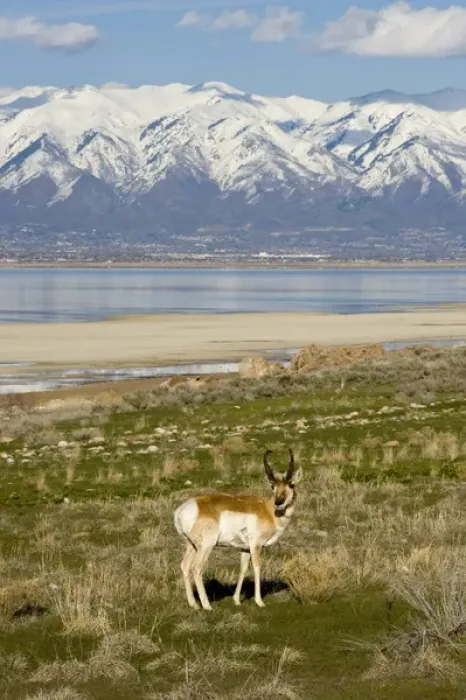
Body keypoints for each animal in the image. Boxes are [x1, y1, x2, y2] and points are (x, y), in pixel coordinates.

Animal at [174, 448, 302, 610]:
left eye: (291, 485)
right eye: (273, 486)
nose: (278, 503)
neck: (267, 510)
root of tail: (181, 510)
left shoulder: (244, 549)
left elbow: (243, 569)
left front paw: (236, 600)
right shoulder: (256, 546)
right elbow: (257, 568)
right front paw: (259, 601)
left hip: (191, 545)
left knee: (184, 566)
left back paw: (194, 604)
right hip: (206, 547)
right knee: (196, 569)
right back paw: (207, 606)